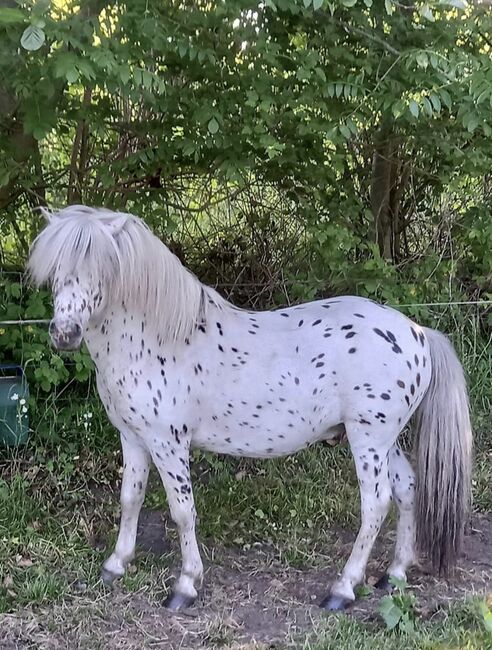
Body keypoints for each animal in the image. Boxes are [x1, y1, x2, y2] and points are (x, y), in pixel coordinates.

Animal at [26, 206, 472, 608]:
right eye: (55, 271)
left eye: (104, 271)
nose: (64, 334)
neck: (158, 338)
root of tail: (417, 331)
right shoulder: (133, 438)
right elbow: (129, 498)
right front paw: (116, 564)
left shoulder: (168, 444)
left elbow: (182, 511)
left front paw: (186, 585)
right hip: (383, 440)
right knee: (407, 489)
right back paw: (394, 574)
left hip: (369, 440)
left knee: (376, 504)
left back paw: (343, 589)